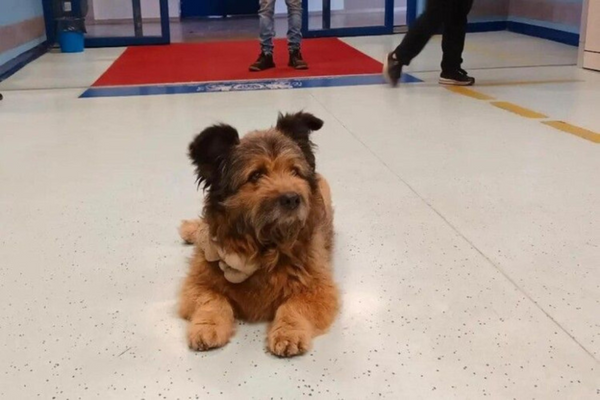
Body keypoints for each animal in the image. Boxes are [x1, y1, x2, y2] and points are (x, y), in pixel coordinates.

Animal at [177, 111, 338, 356]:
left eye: (295, 171)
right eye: (256, 175)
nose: (293, 198)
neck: (265, 246)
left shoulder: (318, 288)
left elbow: (293, 306)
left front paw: (288, 332)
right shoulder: (197, 283)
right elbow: (213, 301)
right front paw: (207, 327)